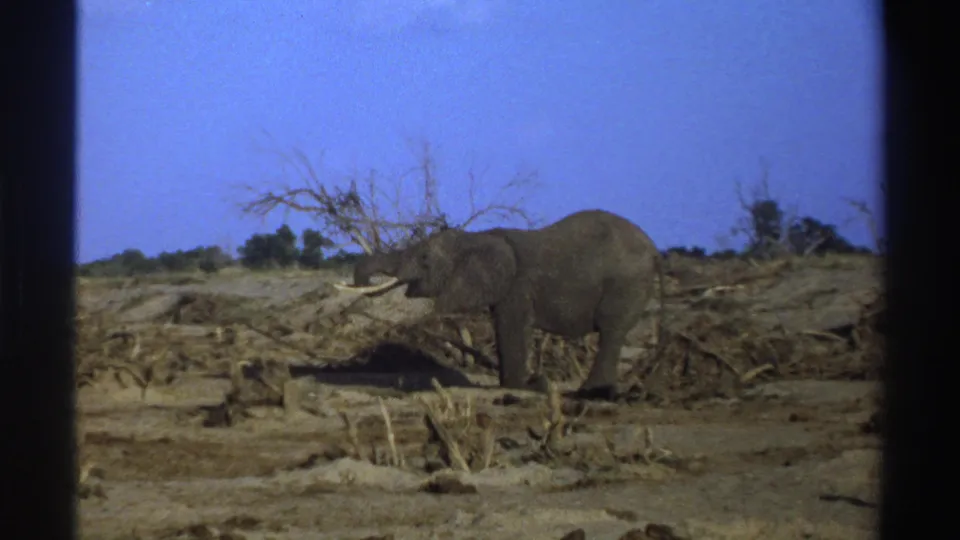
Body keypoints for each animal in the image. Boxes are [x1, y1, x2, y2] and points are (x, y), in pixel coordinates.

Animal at [334, 209, 665, 400]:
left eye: (425, 259)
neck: (477, 237)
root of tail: (654, 251)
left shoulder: (518, 285)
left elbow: (512, 326)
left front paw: (523, 387)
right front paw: (519, 384)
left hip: (626, 282)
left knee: (611, 330)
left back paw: (591, 393)